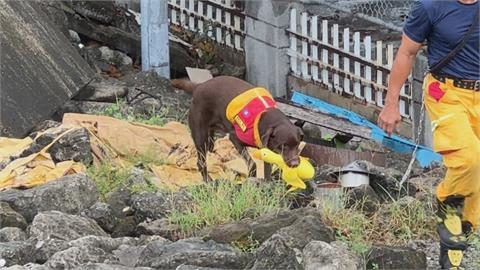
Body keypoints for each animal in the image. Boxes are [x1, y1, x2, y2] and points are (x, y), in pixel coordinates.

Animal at [171, 76, 302, 181]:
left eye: (297, 144)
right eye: (283, 146)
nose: (295, 164)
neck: (265, 115)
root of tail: (199, 86)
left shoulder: (267, 149)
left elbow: (267, 171)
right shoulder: (235, 138)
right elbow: (252, 163)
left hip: (210, 134)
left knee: (210, 147)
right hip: (200, 134)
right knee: (200, 162)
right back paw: (208, 180)